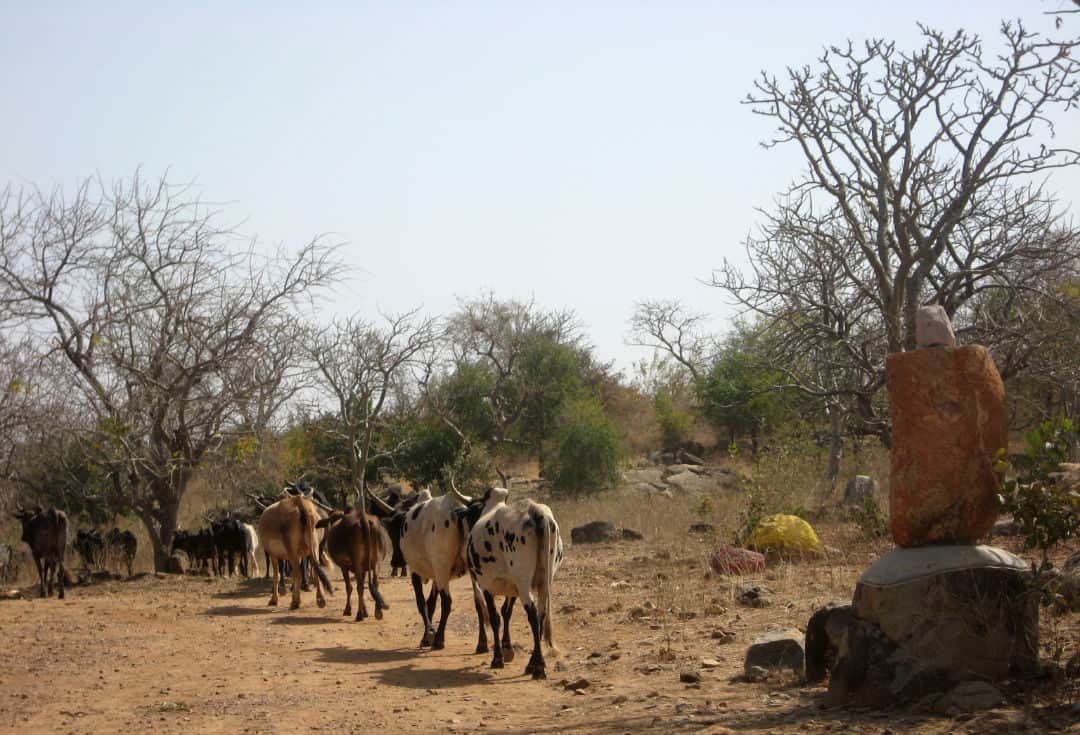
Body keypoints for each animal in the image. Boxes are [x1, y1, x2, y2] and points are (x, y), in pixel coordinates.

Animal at [457, 483, 565, 677]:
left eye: (471, 513)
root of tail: (535, 511)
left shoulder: (487, 585)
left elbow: (494, 617)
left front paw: (497, 658)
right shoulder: (512, 588)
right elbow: (506, 612)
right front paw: (507, 649)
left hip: (523, 581)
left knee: (532, 615)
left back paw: (538, 667)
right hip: (545, 580)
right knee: (541, 614)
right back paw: (533, 664)